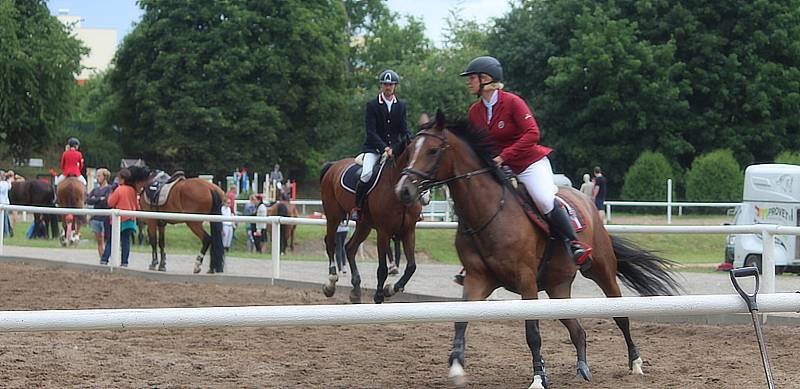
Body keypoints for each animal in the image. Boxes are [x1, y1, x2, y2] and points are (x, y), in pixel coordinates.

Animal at [320, 146, 424, 304]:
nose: (426, 197)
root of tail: (333, 165)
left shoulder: (409, 231)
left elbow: (411, 266)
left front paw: (390, 289)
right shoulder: (384, 231)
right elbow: (382, 268)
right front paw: (379, 294)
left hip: (364, 225)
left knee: (350, 248)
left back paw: (356, 290)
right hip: (333, 216)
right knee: (331, 243)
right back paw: (331, 283)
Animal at [394, 113, 680, 388]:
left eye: (432, 150)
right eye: (409, 152)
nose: (403, 190)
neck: (488, 211)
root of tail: (585, 200)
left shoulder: (526, 280)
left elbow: (532, 332)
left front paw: (539, 377)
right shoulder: (479, 278)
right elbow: (461, 320)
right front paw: (456, 368)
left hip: (601, 270)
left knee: (621, 316)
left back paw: (636, 364)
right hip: (557, 287)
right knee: (577, 329)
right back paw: (582, 369)